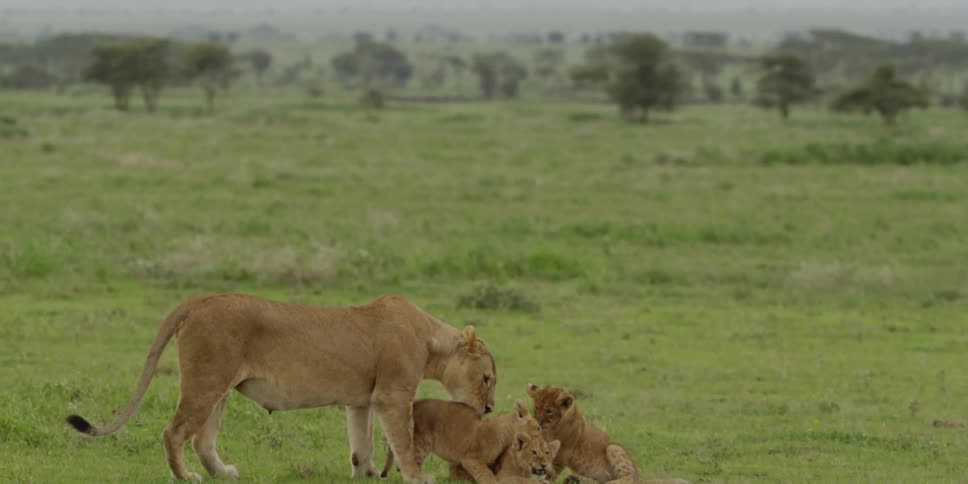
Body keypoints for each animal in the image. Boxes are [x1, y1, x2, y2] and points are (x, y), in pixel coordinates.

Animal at [65, 293, 497, 483]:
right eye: (488, 378)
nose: (491, 409)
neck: (431, 340)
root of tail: (200, 299)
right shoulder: (393, 395)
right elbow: (403, 440)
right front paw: (416, 476)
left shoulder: (361, 402)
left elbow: (363, 441)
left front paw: (368, 472)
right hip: (206, 381)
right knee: (174, 432)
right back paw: (186, 477)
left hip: (219, 387)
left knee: (203, 439)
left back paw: (222, 472)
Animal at [381, 399, 540, 483]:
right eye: (538, 428)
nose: (542, 434)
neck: (505, 433)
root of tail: (414, 404)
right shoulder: (470, 459)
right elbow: (486, 474)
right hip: (419, 445)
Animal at [526, 384, 688, 484]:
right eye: (537, 407)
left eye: (548, 411)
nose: (537, 422)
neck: (551, 427)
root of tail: (640, 476)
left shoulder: (561, 454)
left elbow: (549, 472)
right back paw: (576, 479)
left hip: (614, 448)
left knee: (628, 479)